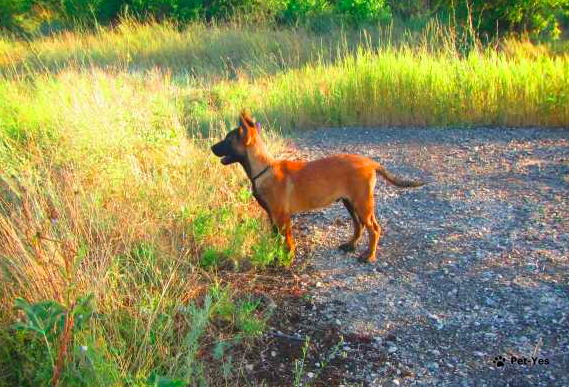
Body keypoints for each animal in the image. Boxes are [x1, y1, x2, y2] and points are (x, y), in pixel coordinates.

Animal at [211, 110, 424, 266]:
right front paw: (277, 256)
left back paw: (369, 256)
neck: (264, 169)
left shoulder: (282, 217)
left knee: (374, 229)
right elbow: (277, 239)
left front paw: (288, 259)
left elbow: (288, 241)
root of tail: (370, 162)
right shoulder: (272, 216)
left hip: (362, 204)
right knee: (359, 225)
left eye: (227, 140)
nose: (211, 148)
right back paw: (351, 245)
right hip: (350, 202)